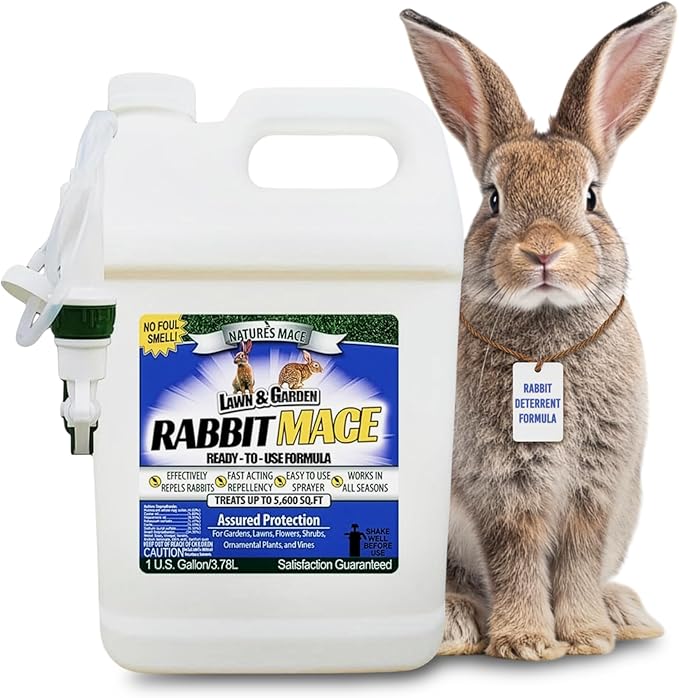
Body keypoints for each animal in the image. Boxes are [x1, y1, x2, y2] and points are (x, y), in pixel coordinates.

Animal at [402, 3, 675, 660]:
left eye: (592, 197)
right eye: (493, 199)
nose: (543, 250)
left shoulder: (596, 490)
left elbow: (578, 557)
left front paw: (587, 636)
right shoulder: (502, 488)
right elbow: (516, 557)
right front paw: (526, 641)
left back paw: (625, 615)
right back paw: (455, 629)